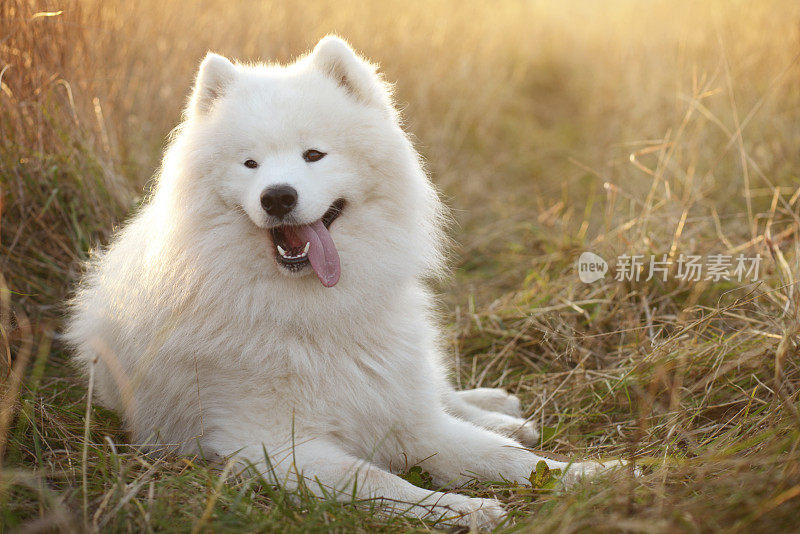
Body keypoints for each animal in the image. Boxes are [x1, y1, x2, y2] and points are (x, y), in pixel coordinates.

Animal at [65, 35, 628, 528]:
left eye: (314, 155)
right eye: (250, 164)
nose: (277, 196)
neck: (318, 311)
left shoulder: (402, 414)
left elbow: (510, 461)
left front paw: (593, 475)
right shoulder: (281, 446)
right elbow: (384, 481)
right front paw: (464, 509)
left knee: (445, 394)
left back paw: (501, 412)